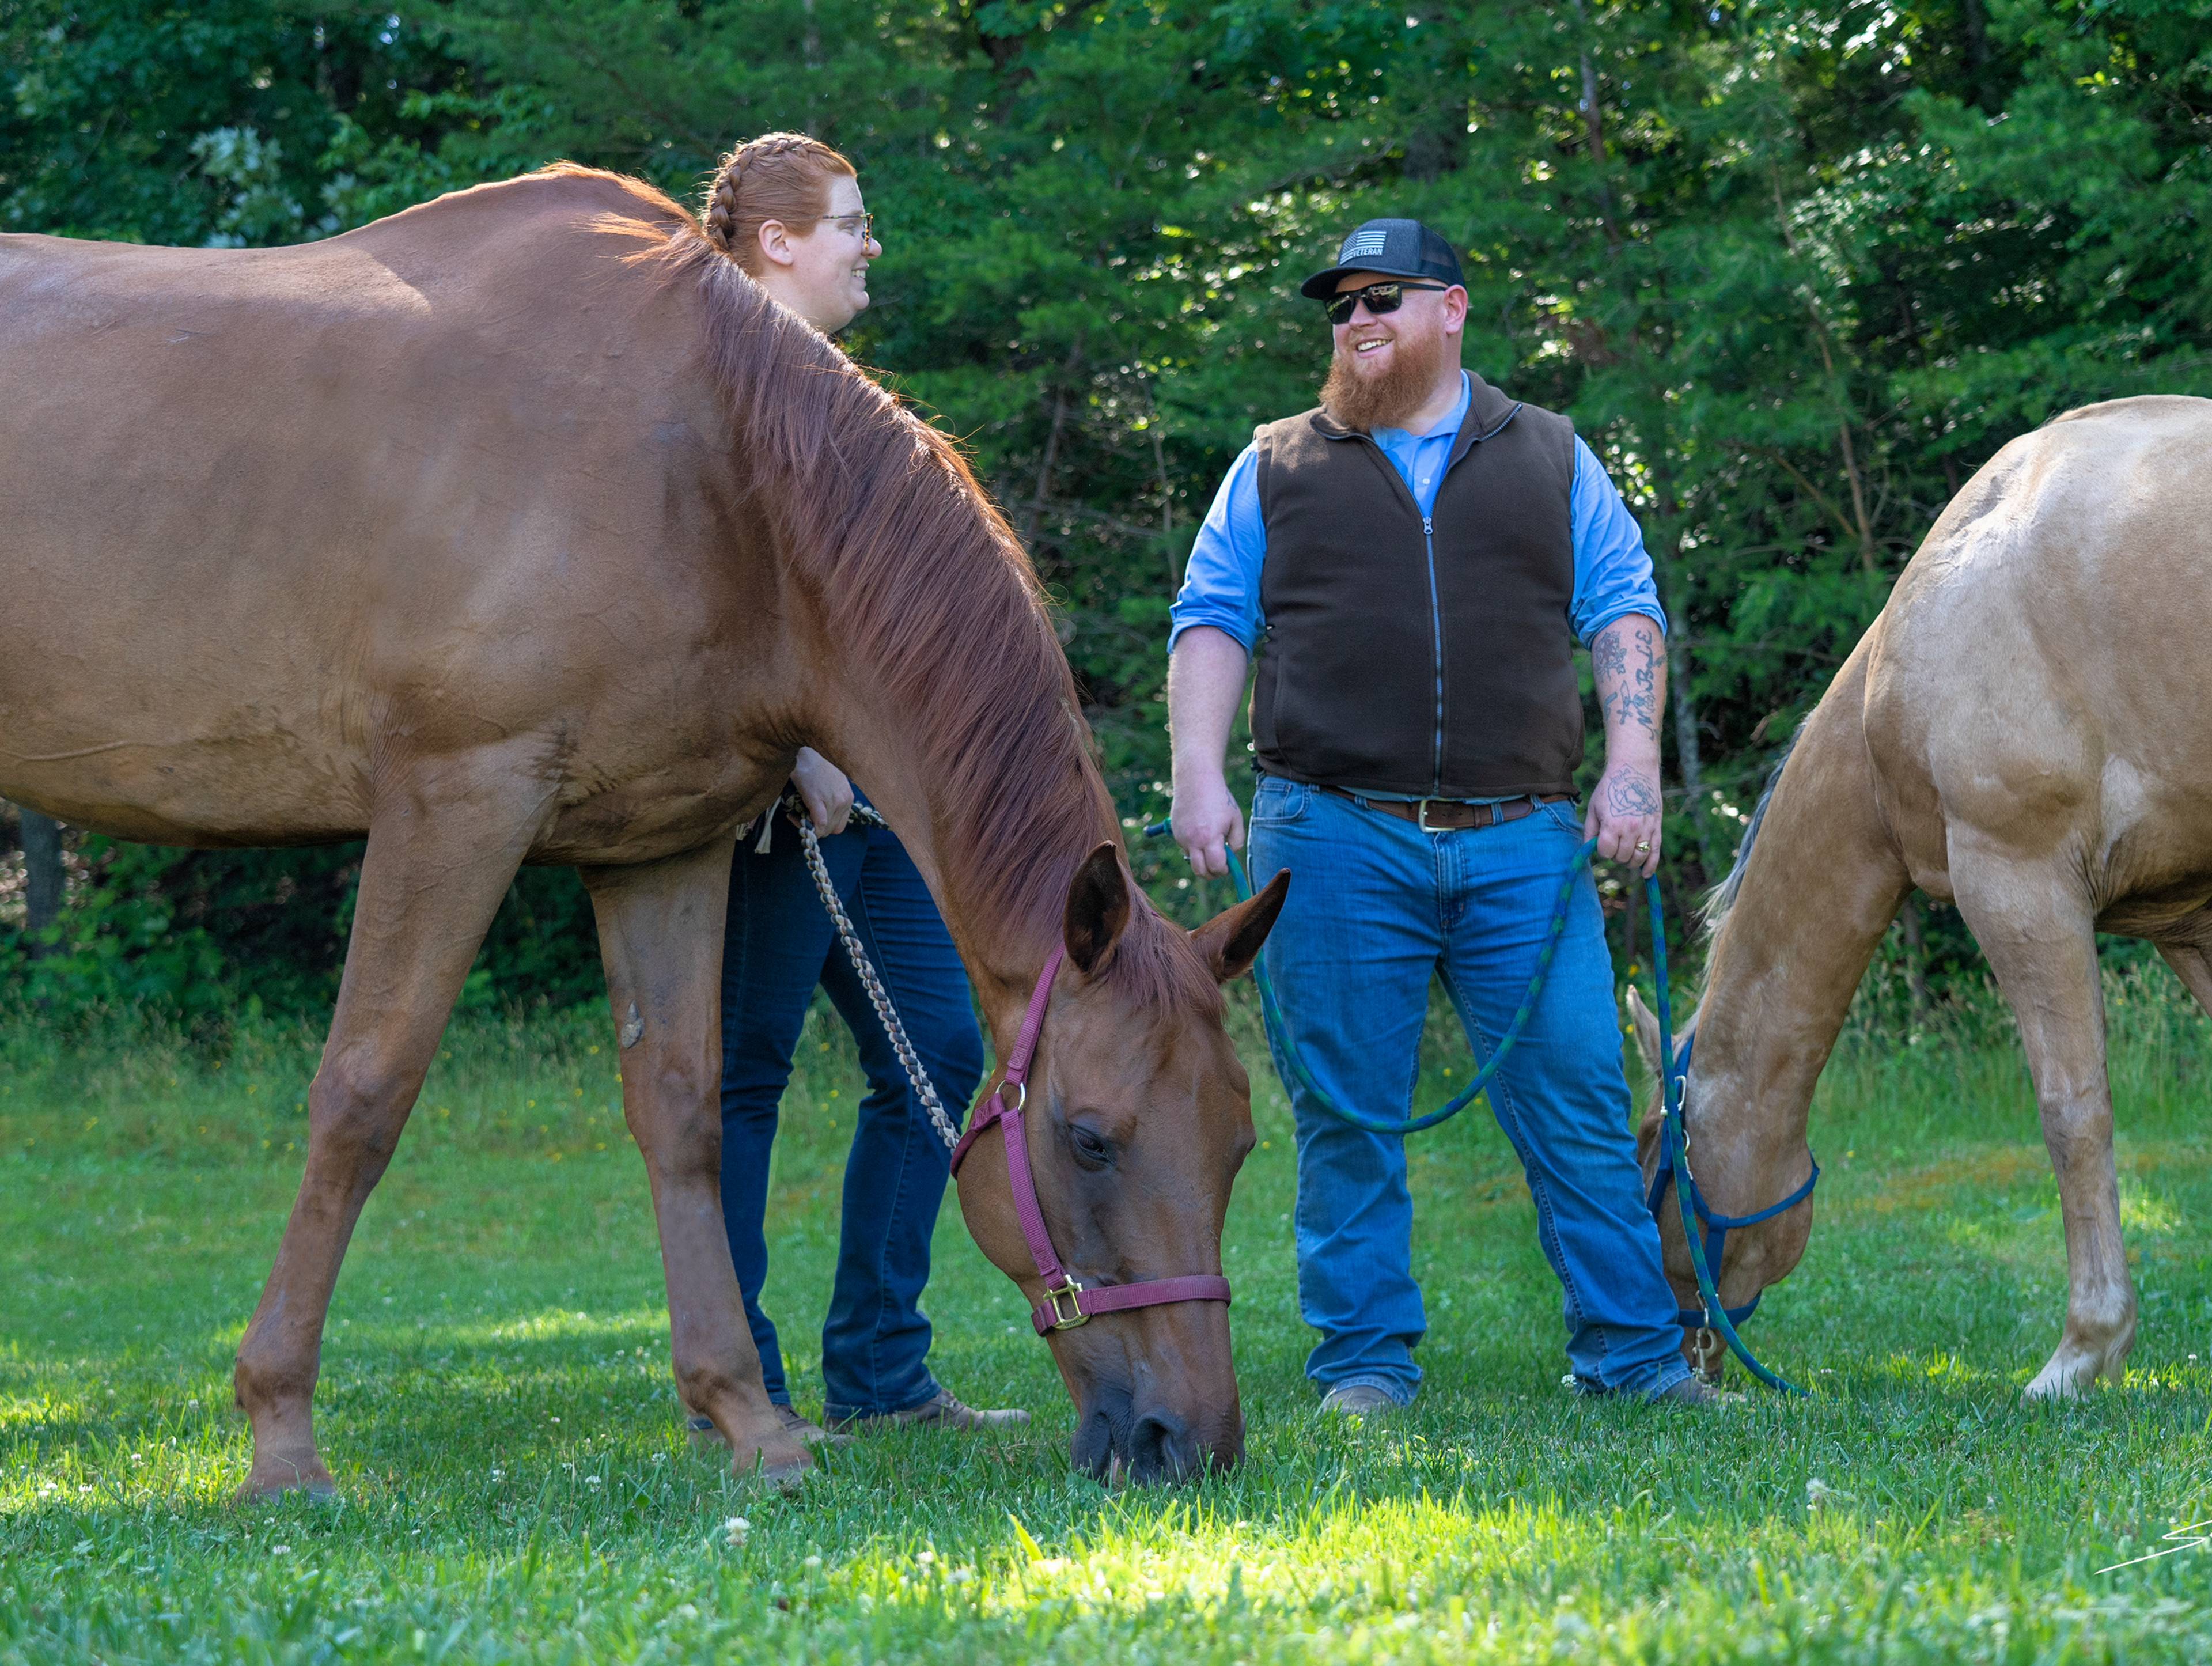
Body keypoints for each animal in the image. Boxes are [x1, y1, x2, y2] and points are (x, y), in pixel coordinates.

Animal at [0, 169, 1291, 1486]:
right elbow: (364, 1094)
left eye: (1240, 1143)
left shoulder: (659, 848)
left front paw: (749, 1418)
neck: (717, 474)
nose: (1188, 1442)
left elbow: (685, 1114)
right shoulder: (454, 800)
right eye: (1090, 1141)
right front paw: (281, 1435)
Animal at [1628, 396, 2212, 1398]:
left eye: (1653, 1166)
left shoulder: (2017, 883)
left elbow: (2074, 1113)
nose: (1687, 1356)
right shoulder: (2188, 918)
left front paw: (2084, 1353)